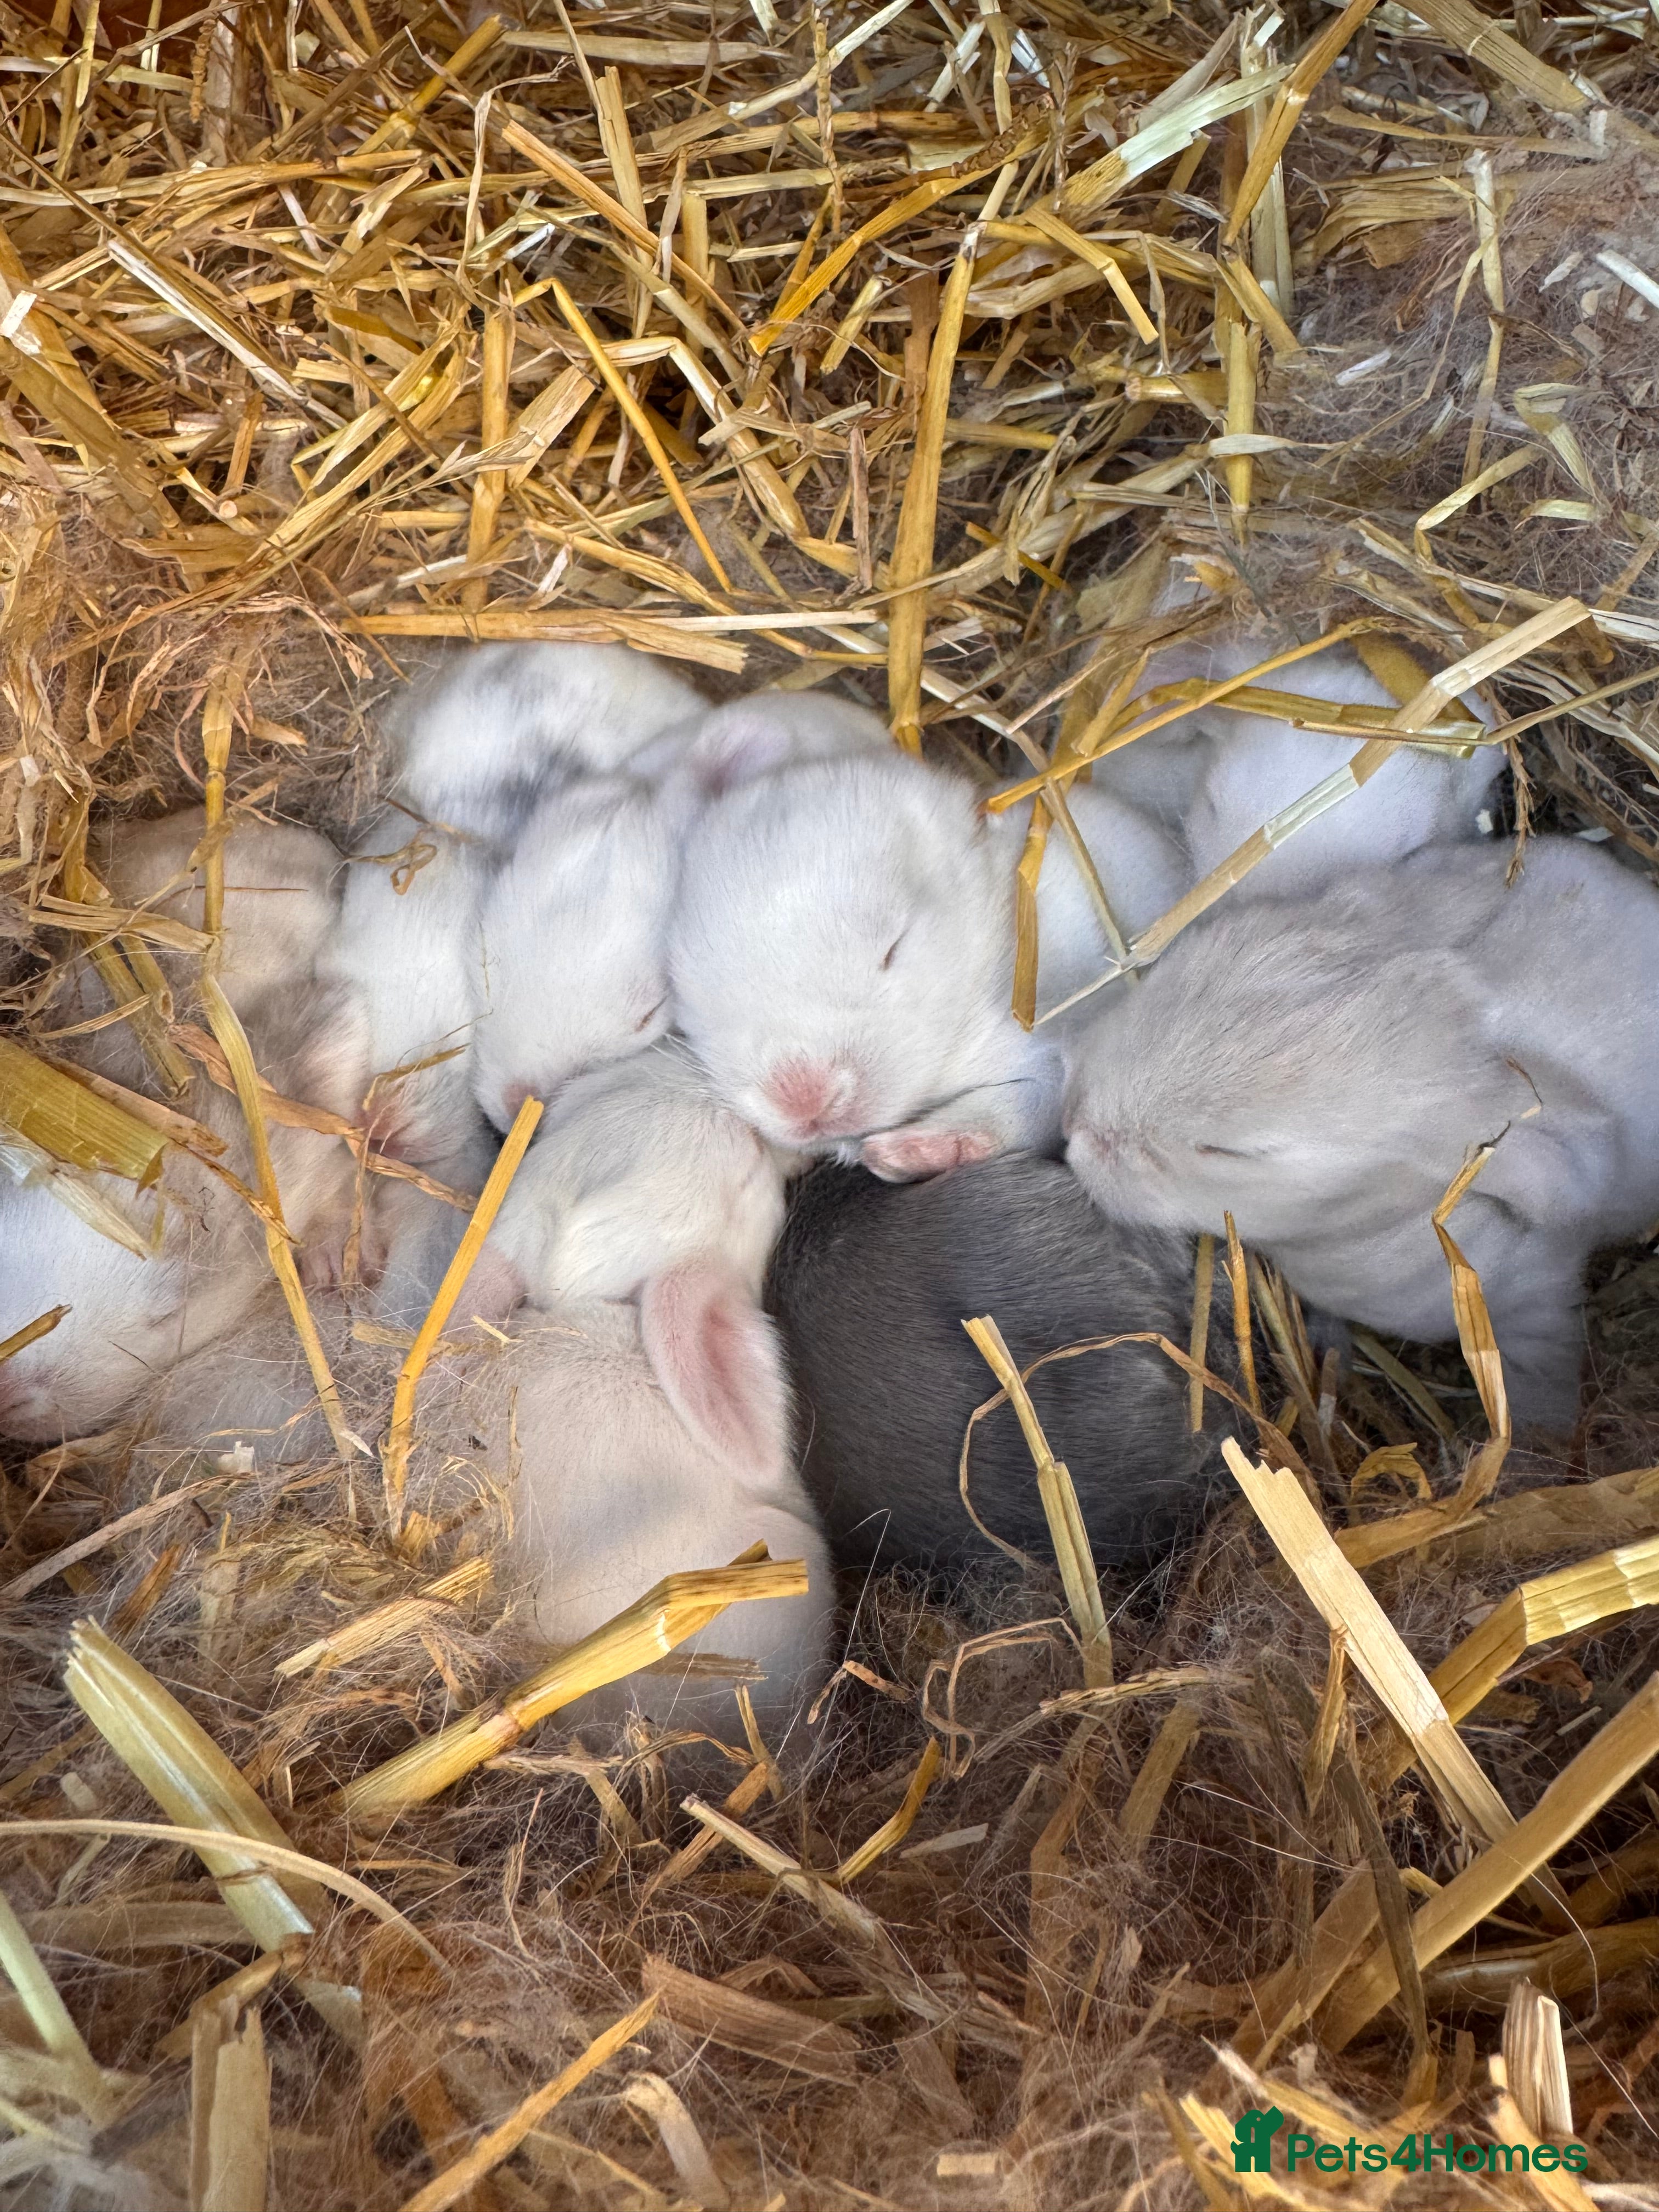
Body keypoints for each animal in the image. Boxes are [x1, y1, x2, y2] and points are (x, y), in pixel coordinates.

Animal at [668, 746, 1184, 1181]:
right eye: (691, 986)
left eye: (893, 948)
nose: (803, 1099)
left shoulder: (1055, 1051)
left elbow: (1027, 1106)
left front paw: (910, 1152)